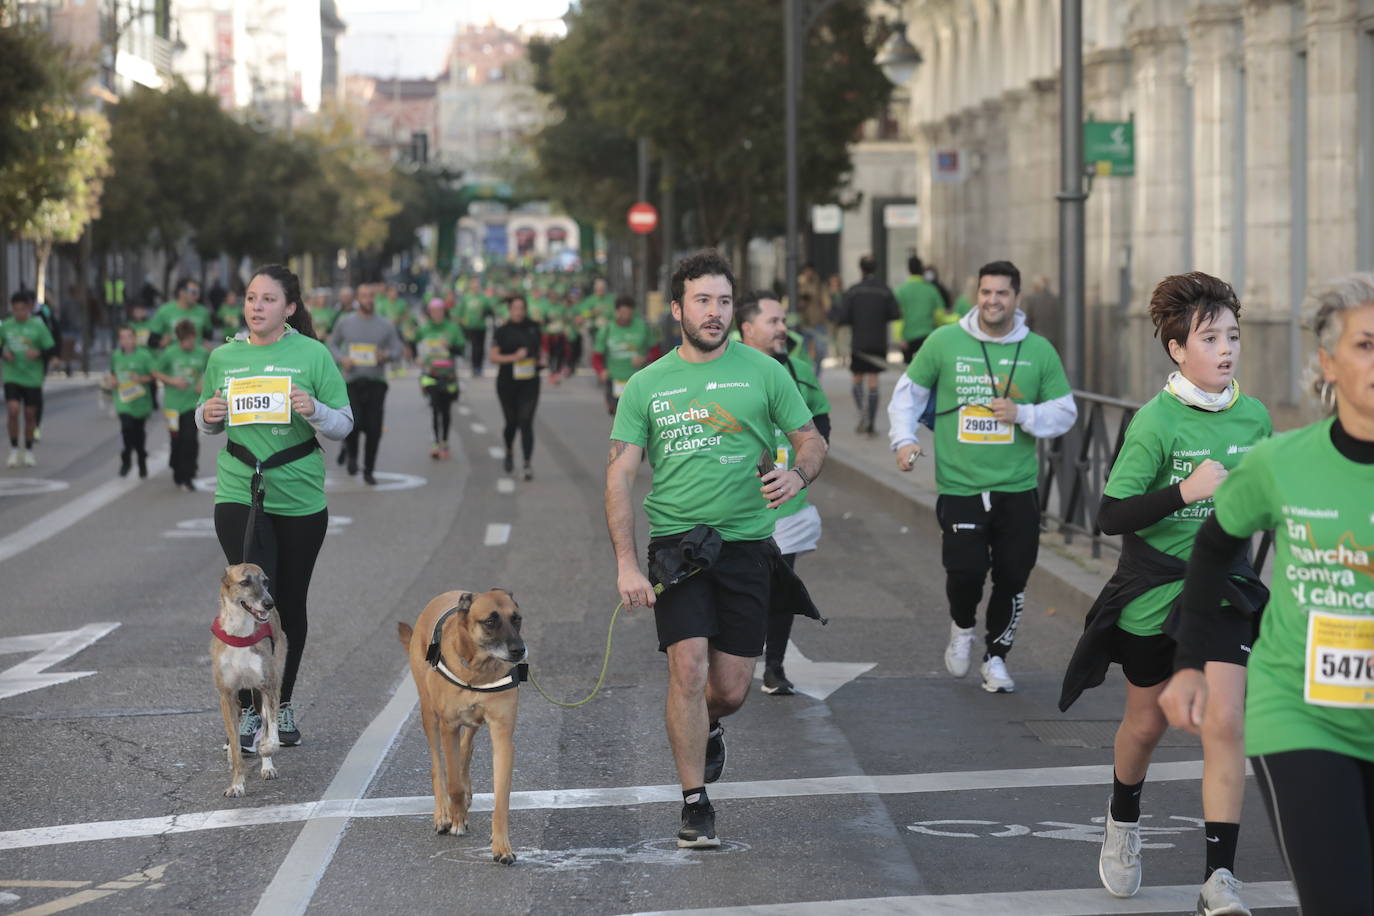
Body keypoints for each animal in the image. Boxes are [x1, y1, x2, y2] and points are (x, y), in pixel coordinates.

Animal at [206, 563, 284, 796]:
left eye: (266, 581)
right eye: (245, 582)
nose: (269, 603)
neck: (240, 634)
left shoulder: (269, 686)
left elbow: (272, 734)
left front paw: (266, 749)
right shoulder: (227, 695)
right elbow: (235, 743)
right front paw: (236, 784)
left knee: (267, 724)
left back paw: (267, 765)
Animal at [401, 587, 527, 867]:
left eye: (517, 619)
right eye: (490, 621)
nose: (519, 650)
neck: (479, 670)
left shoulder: (502, 735)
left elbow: (501, 800)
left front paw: (502, 846)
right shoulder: (448, 726)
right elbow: (454, 785)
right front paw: (456, 819)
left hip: (471, 722)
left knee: (466, 749)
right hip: (429, 715)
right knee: (439, 767)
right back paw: (443, 814)